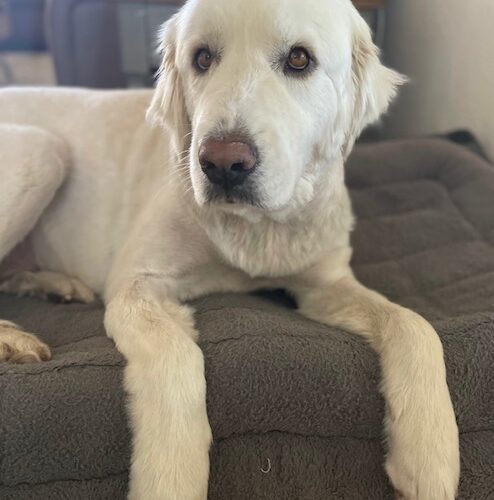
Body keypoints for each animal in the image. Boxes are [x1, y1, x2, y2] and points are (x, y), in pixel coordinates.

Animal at [0, 0, 460, 500]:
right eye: (202, 58)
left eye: (299, 59)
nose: (222, 163)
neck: (257, 230)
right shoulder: (136, 284)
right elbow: (178, 357)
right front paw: (171, 478)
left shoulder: (326, 283)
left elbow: (414, 325)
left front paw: (429, 455)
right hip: (42, 151)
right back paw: (13, 338)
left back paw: (54, 286)